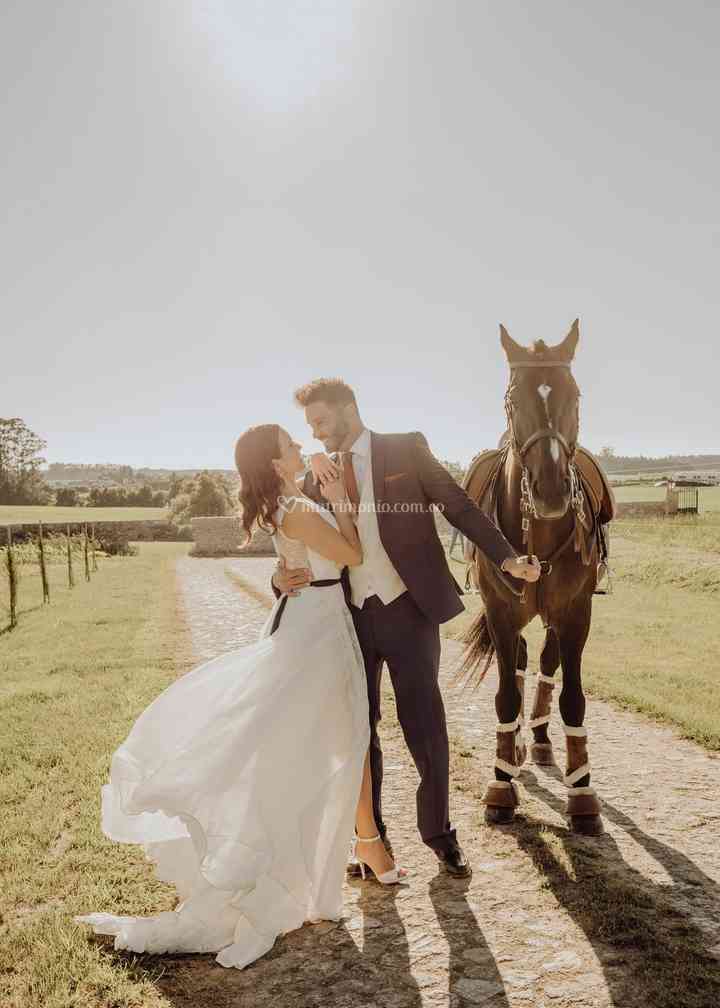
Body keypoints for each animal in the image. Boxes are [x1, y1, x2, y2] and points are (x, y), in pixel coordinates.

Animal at [459, 320, 613, 834]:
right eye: (512, 398)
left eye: (575, 393)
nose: (549, 491)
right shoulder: (501, 612)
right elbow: (507, 693)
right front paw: (501, 782)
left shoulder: (575, 613)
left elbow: (573, 697)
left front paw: (582, 791)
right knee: (526, 661)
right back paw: (520, 748)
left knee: (546, 663)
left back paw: (544, 739)